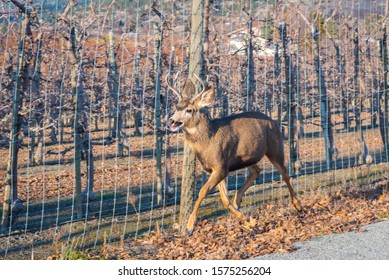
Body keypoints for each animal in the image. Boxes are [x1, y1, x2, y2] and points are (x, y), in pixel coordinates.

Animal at [165, 73, 302, 235]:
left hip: (275, 148)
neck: (208, 141)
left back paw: (298, 205)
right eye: (176, 107)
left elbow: (203, 191)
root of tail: (274, 121)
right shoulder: (216, 168)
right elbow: (224, 197)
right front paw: (245, 219)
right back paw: (238, 201)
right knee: (257, 170)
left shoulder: (221, 165)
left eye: (189, 110)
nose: (172, 120)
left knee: (285, 174)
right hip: (248, 157)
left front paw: (189, 227)